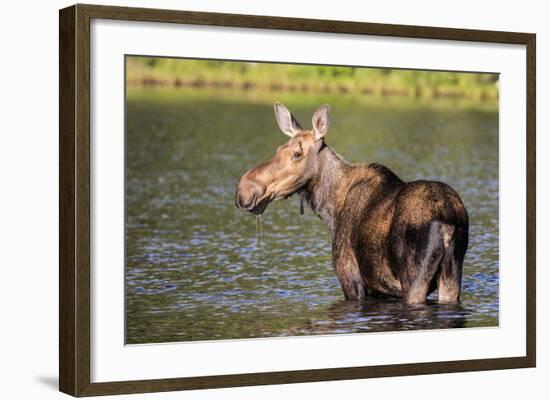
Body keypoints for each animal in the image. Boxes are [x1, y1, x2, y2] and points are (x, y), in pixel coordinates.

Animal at [235, 103, 472, 304]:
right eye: (278, 149)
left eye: (297, 154)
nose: (244, 190)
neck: (330, 208)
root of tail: (448, 222)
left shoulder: (351, 279)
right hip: (451, 278)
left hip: (414, 280)